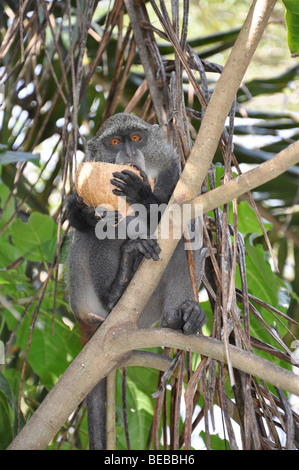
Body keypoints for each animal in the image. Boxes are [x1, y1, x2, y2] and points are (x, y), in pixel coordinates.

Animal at [66, 113, 206, 448]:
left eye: (137, 138)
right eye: (115, 142)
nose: (129, 153)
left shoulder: (174, 172)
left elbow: (180, 221)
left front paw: (142, 194)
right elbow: (85, 221)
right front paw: (84, 214)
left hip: (148, 312)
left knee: (186, 236)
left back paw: (180, 317)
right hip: (81, 296)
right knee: (94, 236)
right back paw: (116, 290)